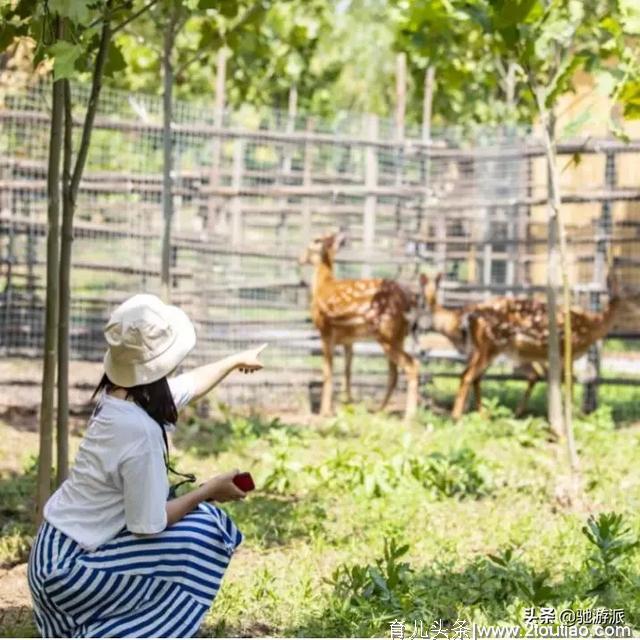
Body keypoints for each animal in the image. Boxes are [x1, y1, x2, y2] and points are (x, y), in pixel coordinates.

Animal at [300, 230, 420, 420]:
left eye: (315, 240)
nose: (300, 258)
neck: (322, 286)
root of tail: (412, 302)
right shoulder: (348, 339)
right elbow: (347, 370)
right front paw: (346, 404)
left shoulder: (325, 331)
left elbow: (327, 371)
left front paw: (325, 412)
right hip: (397, 336)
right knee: (394, 373)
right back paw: (379, 411)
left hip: (387, 333)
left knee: (411, 365)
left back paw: (409, 417)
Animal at [420, 272, 620, 418]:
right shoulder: (565, 351)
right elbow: (566, 381)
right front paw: (573, 415)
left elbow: (549, 379)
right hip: (490, 347)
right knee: (468, 375)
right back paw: (458, 416)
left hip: (497, 350)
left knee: (474, 376)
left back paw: (481, 414)